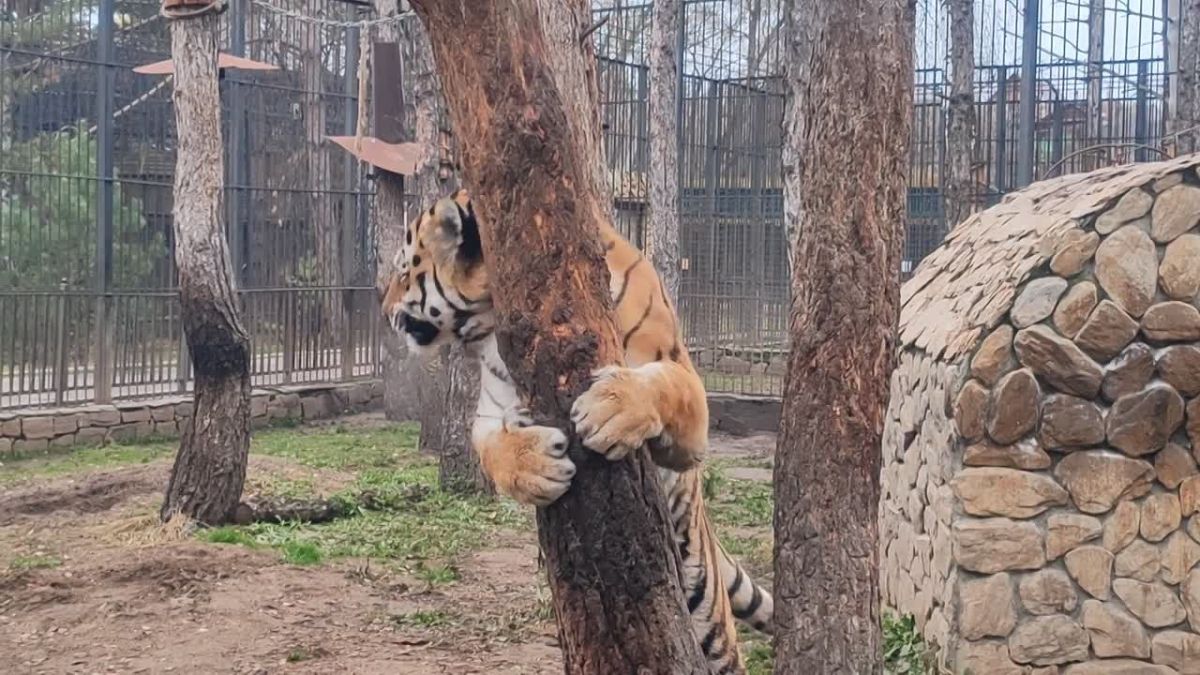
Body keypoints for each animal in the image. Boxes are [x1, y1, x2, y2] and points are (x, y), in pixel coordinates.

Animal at [381, 189, 773, 673]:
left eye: (404, 271)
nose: (382, 310)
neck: (489, 320)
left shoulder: (689, 400)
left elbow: (663, 385)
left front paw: (611, 410)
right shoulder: (489, 413)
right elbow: (493, 450)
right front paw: (536, 469)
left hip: (707, 608)